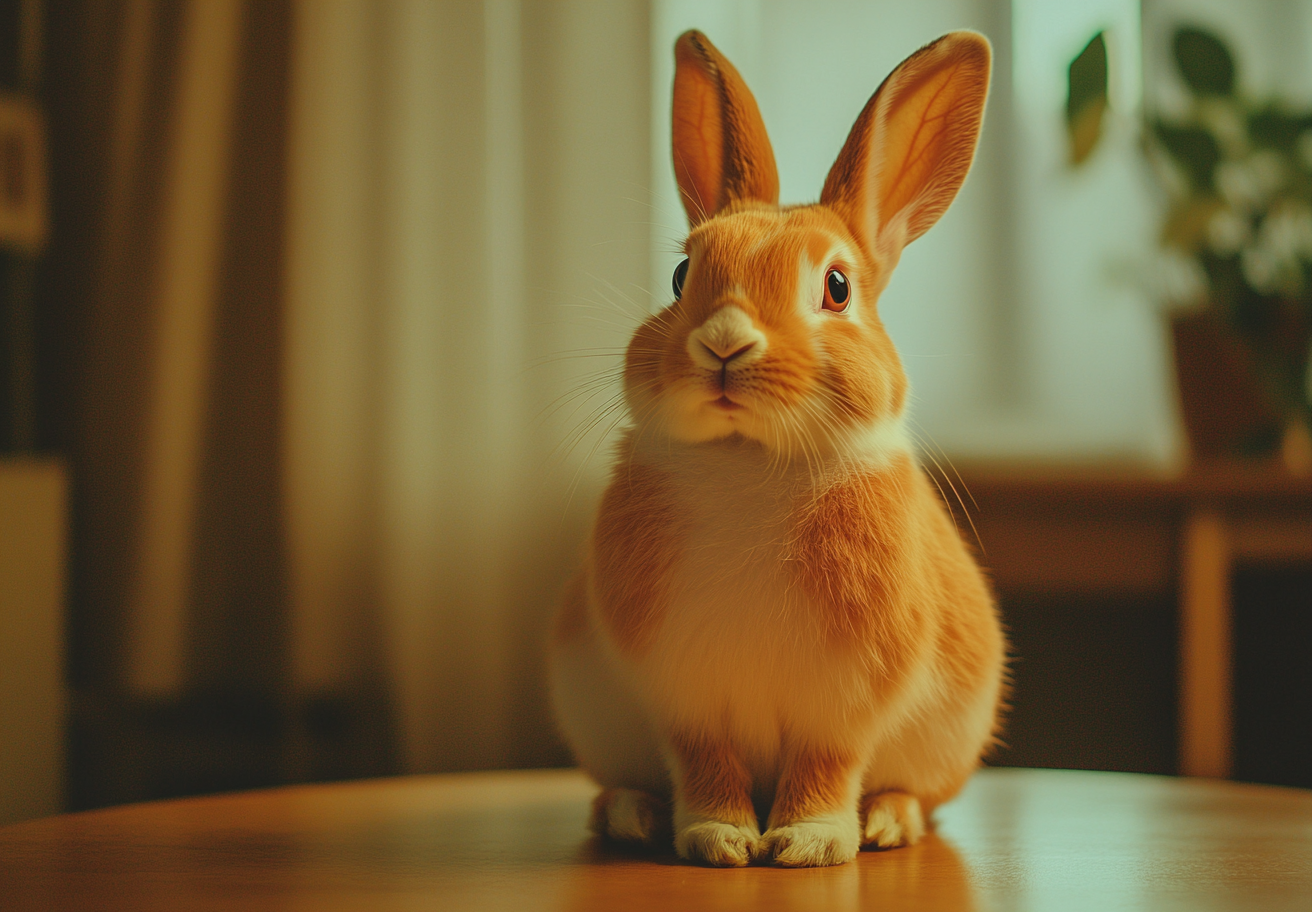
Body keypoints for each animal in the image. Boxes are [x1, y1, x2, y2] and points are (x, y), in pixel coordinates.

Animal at [545, 28, 1002, 871]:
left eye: (837, 287)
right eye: (681, 274)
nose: (724, 341)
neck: (748, 458)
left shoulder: (843, 703)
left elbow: (826, 766)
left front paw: (807, 845)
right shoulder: (686, 698)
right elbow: (706, 764)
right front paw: (718, 841)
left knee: (913, 794)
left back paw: (887, 823)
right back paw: (632, 815)